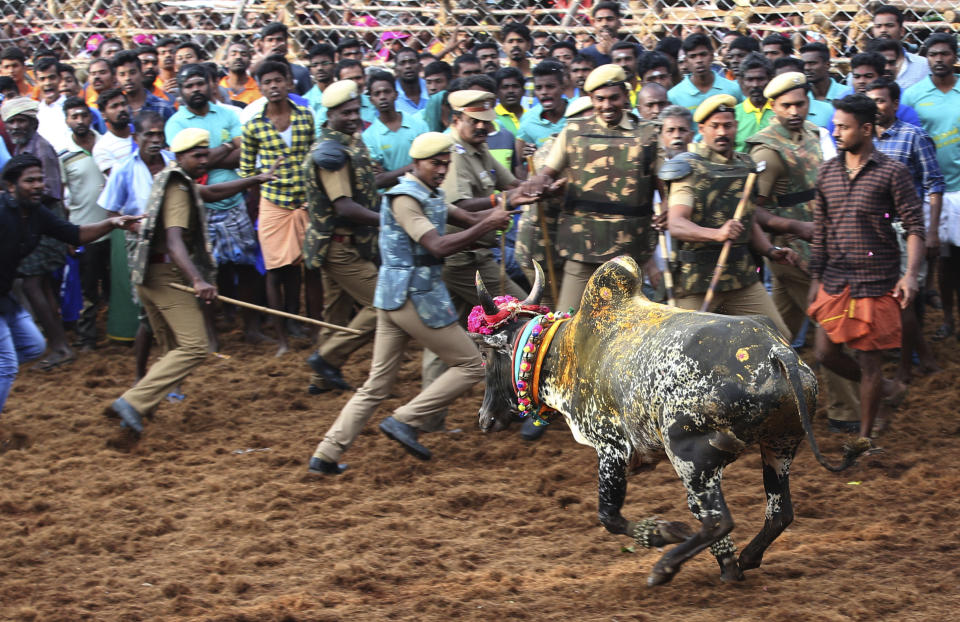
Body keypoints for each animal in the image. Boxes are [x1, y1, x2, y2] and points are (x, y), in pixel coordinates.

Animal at [472, 258, 872, 584]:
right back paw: (742, 561)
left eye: (485, 354)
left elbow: (609, 516)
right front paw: (718, 556)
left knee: (718, 520)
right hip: (778, 445)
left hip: (688, 452)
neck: (567, 350)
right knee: (777, 513)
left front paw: (663, 533)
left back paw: (666, 567)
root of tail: (777, 353)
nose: (484, 419)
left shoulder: (612, 447)